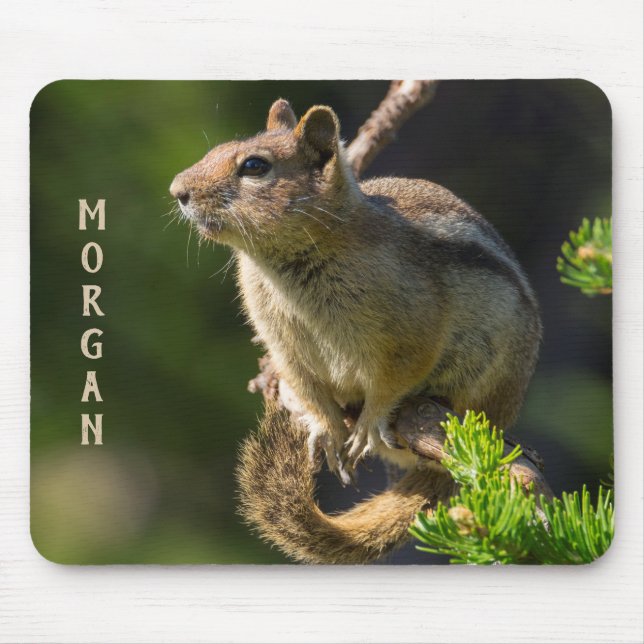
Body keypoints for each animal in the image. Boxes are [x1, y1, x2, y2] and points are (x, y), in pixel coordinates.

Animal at [170, 98, 542, 563]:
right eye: (216, 149)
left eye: (255, 166)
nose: (177, 190)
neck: (290, 263)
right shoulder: (282, 342)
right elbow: (306, 384)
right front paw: (325, 428)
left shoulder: (412, 329)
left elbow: (395, 377)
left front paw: (368, 422)